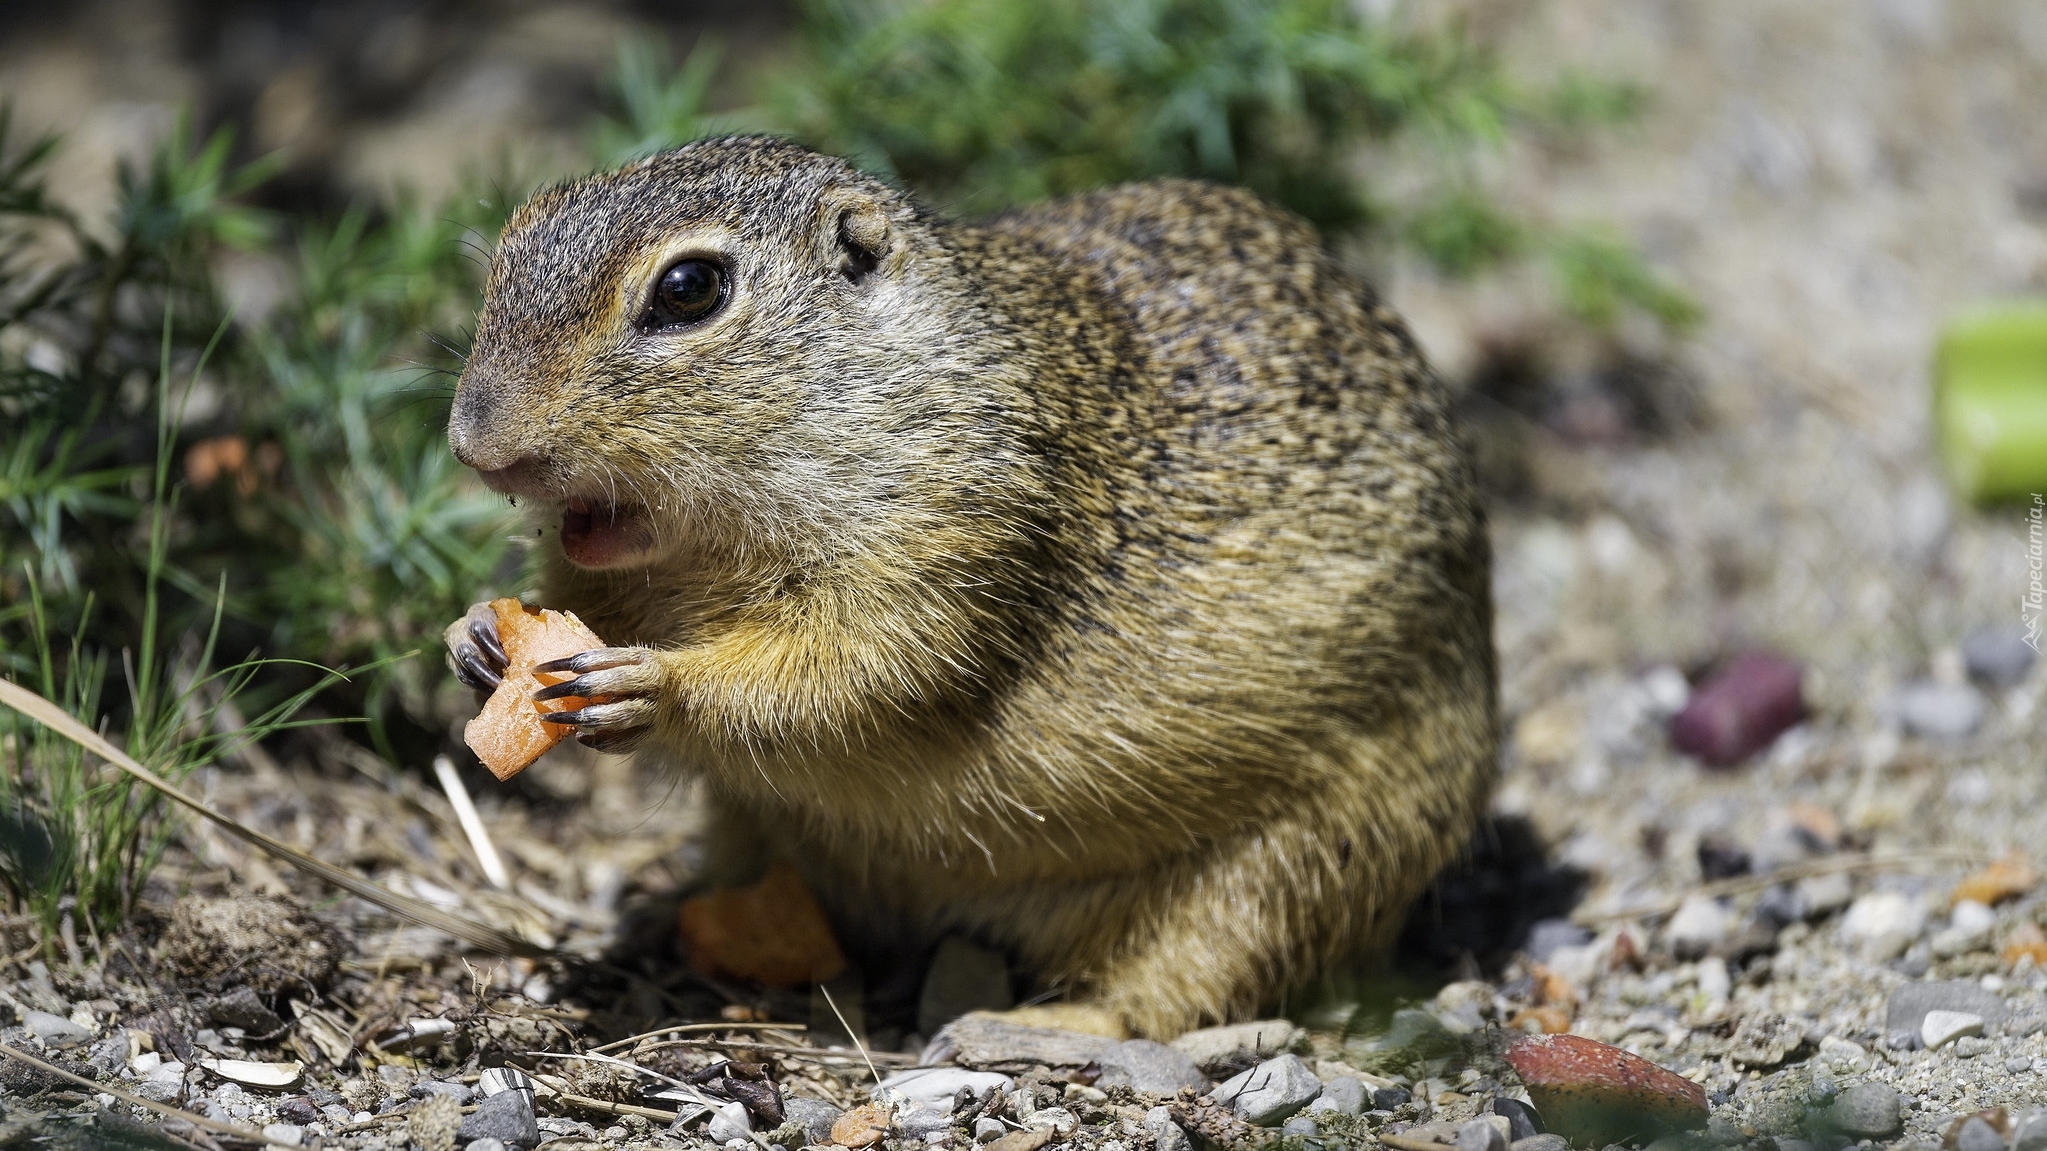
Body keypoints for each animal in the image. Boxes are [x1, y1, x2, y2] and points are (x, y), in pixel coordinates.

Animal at [448, 136, 1498, 1040]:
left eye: (689, 288)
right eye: (511, 242)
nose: (474, 445)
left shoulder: (951, 545)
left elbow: (843, 683)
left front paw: (653, 686)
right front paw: (473, 636)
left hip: (1304, 861)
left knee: (1188, 986)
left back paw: (1045, 1025)